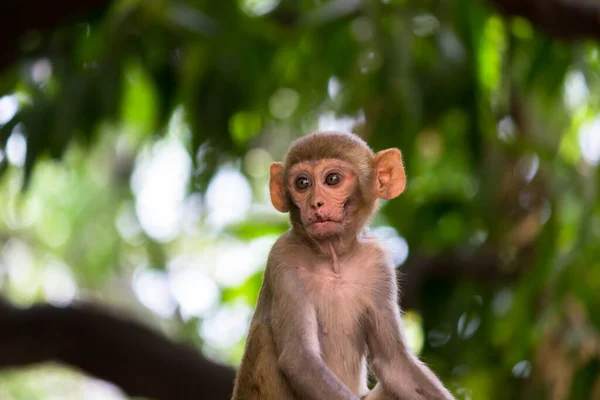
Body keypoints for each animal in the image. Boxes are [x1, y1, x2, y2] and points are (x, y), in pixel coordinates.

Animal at [231, 132, 454, 400]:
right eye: (302, 183)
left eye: (332, 179)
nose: (316, 203)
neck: (334, 260)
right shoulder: (282, 258)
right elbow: (300, 359)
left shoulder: (378, 264)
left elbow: (394, 364)